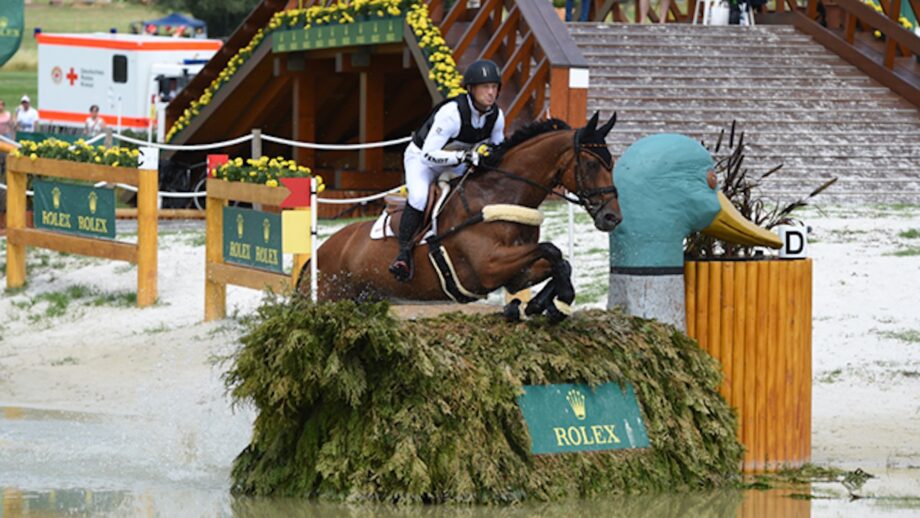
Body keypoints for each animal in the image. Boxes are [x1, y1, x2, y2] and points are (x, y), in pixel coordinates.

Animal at [298, 112, 621, 321]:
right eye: (592, 164)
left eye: (612, 163)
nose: (612, 218)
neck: (499, 195)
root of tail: (317, 254)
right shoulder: (488, 267)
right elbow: (551, 250)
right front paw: (555, 301)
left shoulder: (517, 273)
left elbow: (559, 262)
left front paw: (542, 305)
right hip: (331, 296)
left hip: (364, 299)